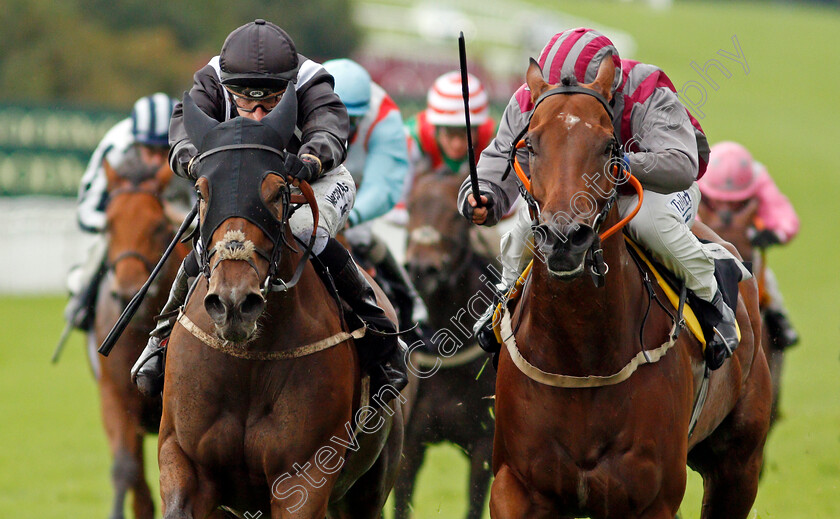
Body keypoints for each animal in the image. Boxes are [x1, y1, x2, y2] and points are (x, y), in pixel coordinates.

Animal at [158, 91, 406, 516]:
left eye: (277, 191)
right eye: (202, 191)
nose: (234, 302)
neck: (250, 361)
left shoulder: (303, 475)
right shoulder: (184, 459)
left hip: (370, 482)